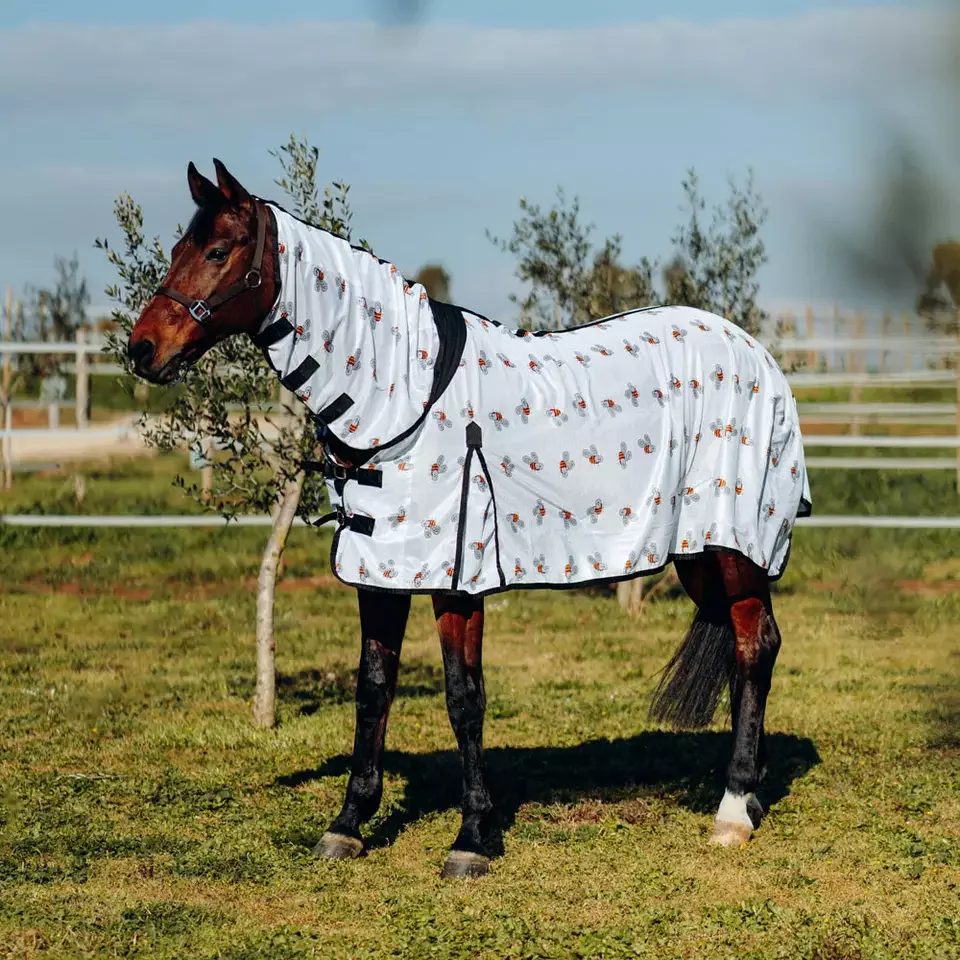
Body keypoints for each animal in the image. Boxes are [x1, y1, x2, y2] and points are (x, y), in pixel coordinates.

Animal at [127, 159, 811, 879]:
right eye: (176, 250)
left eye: (217, 251)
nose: (141, 349)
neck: (403, 396)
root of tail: (757, 353)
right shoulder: (382, 569)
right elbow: (373, 688)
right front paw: (348, 823)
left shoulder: (456, 578)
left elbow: (464, 695)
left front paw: (473, 837)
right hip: (700, 553)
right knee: (748, 646)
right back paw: (748, 793)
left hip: (732, 545)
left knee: (754, 646)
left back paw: (732, 810)